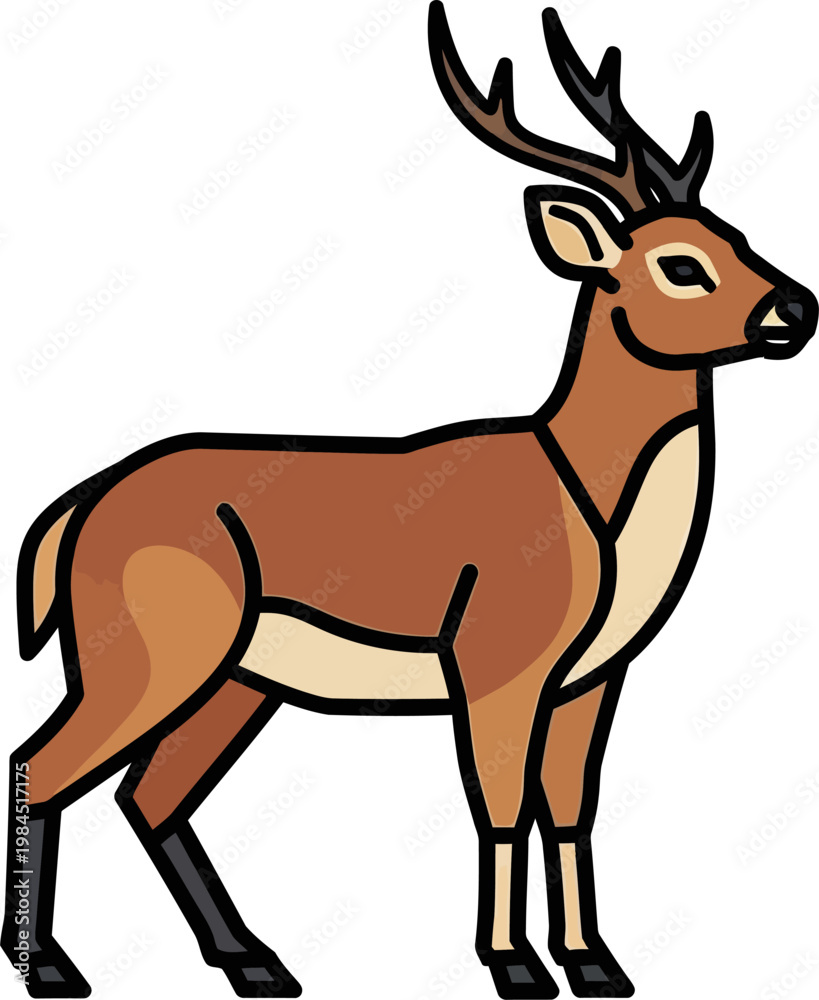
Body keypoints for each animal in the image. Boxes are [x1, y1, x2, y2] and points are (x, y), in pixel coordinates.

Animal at [3, 4, 816, 999]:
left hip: (237, 679)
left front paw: (597, 964)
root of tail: (74, 509)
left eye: (736, 236)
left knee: (146, 794)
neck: (587, 501)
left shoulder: (593, 677)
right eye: (679, 264)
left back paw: (257, 963)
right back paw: (50, 967)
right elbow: (499, 807)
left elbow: (571, 808)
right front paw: (515, 966)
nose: (797, 309)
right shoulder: (497, 659)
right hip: (149, 656)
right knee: (44, 764)